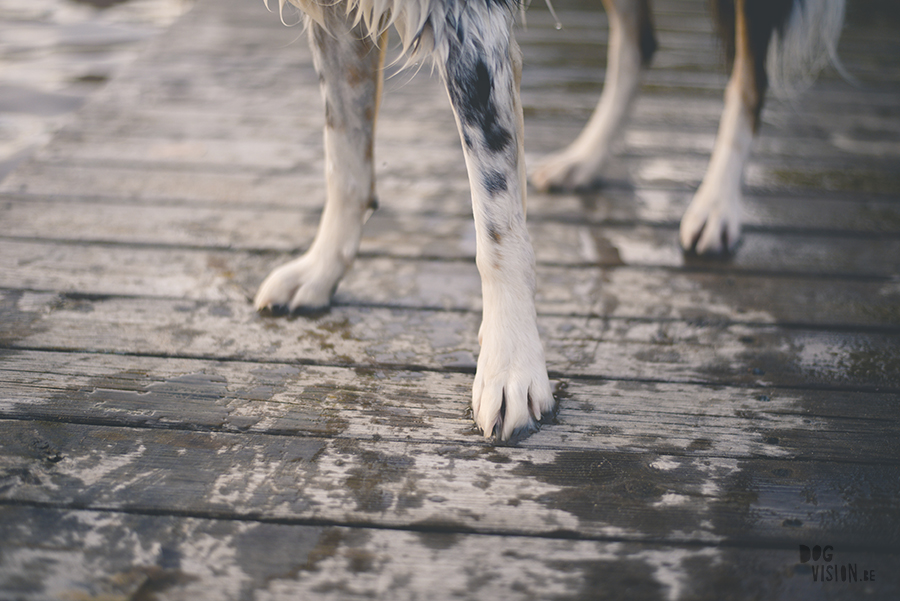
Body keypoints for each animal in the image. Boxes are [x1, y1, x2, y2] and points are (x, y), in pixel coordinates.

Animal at [253, 1, 844, 440]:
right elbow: (345, 157)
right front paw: (321, 270)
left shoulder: (470, 24)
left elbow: (496, 221)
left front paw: (509, 365)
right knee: (640, 41)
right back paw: (586, 158)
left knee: (749, 73)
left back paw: (716, 203)